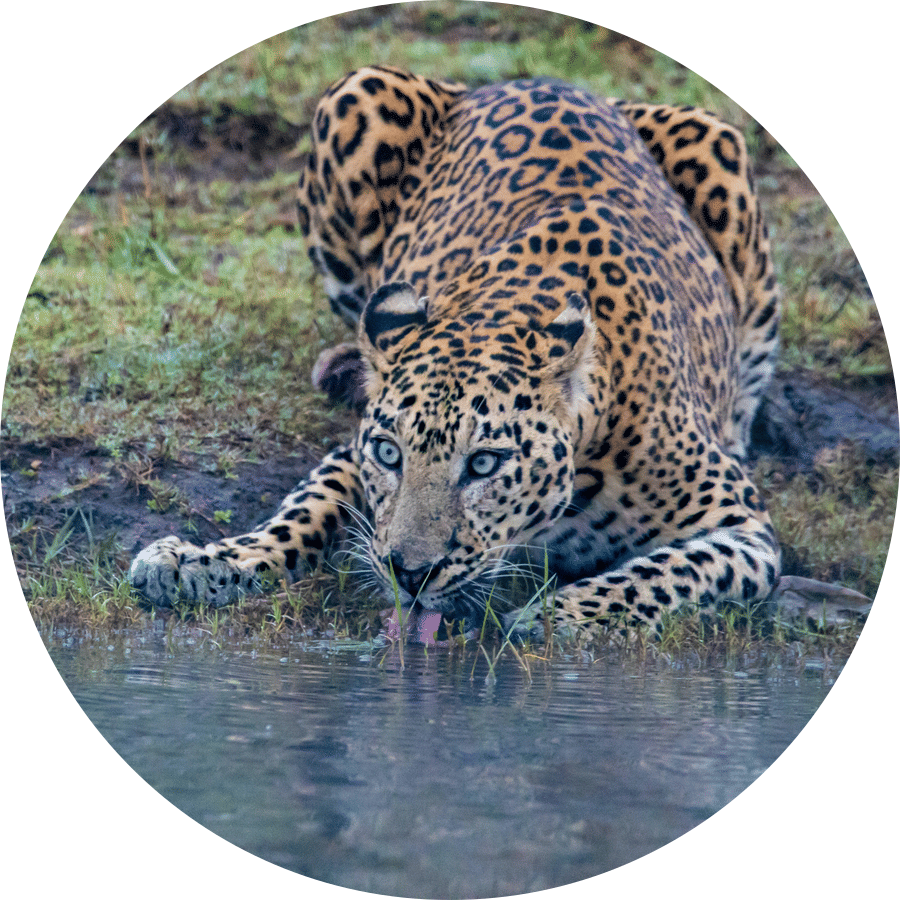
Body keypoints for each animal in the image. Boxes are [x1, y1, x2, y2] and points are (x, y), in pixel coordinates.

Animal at [130, 65, 782, 640]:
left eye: (485, 464)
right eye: (390, 454)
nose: (410, 574)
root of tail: (536, 79)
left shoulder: (743, 528)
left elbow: (666, 573)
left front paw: (557, 617)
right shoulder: (351, 453)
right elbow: (301, 513)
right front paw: (201, 562)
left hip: (721, 151)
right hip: (355, 97)